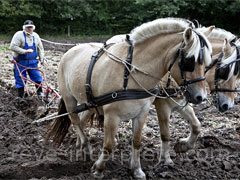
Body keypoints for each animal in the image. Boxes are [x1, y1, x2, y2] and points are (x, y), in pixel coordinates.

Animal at [46, 18, 213, 179]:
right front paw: (99, 169)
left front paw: (137, 170)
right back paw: (86, 146)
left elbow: (138, 141)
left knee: (81, 120)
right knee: (75, 120)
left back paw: (80, 145)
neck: (130, 74)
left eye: (207, 62)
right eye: (189, 61)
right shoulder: (114, 115)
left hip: (90, 103)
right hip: (69, 99)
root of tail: (71, 50)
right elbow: (109, 145)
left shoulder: (143, 112)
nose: (201, 97)